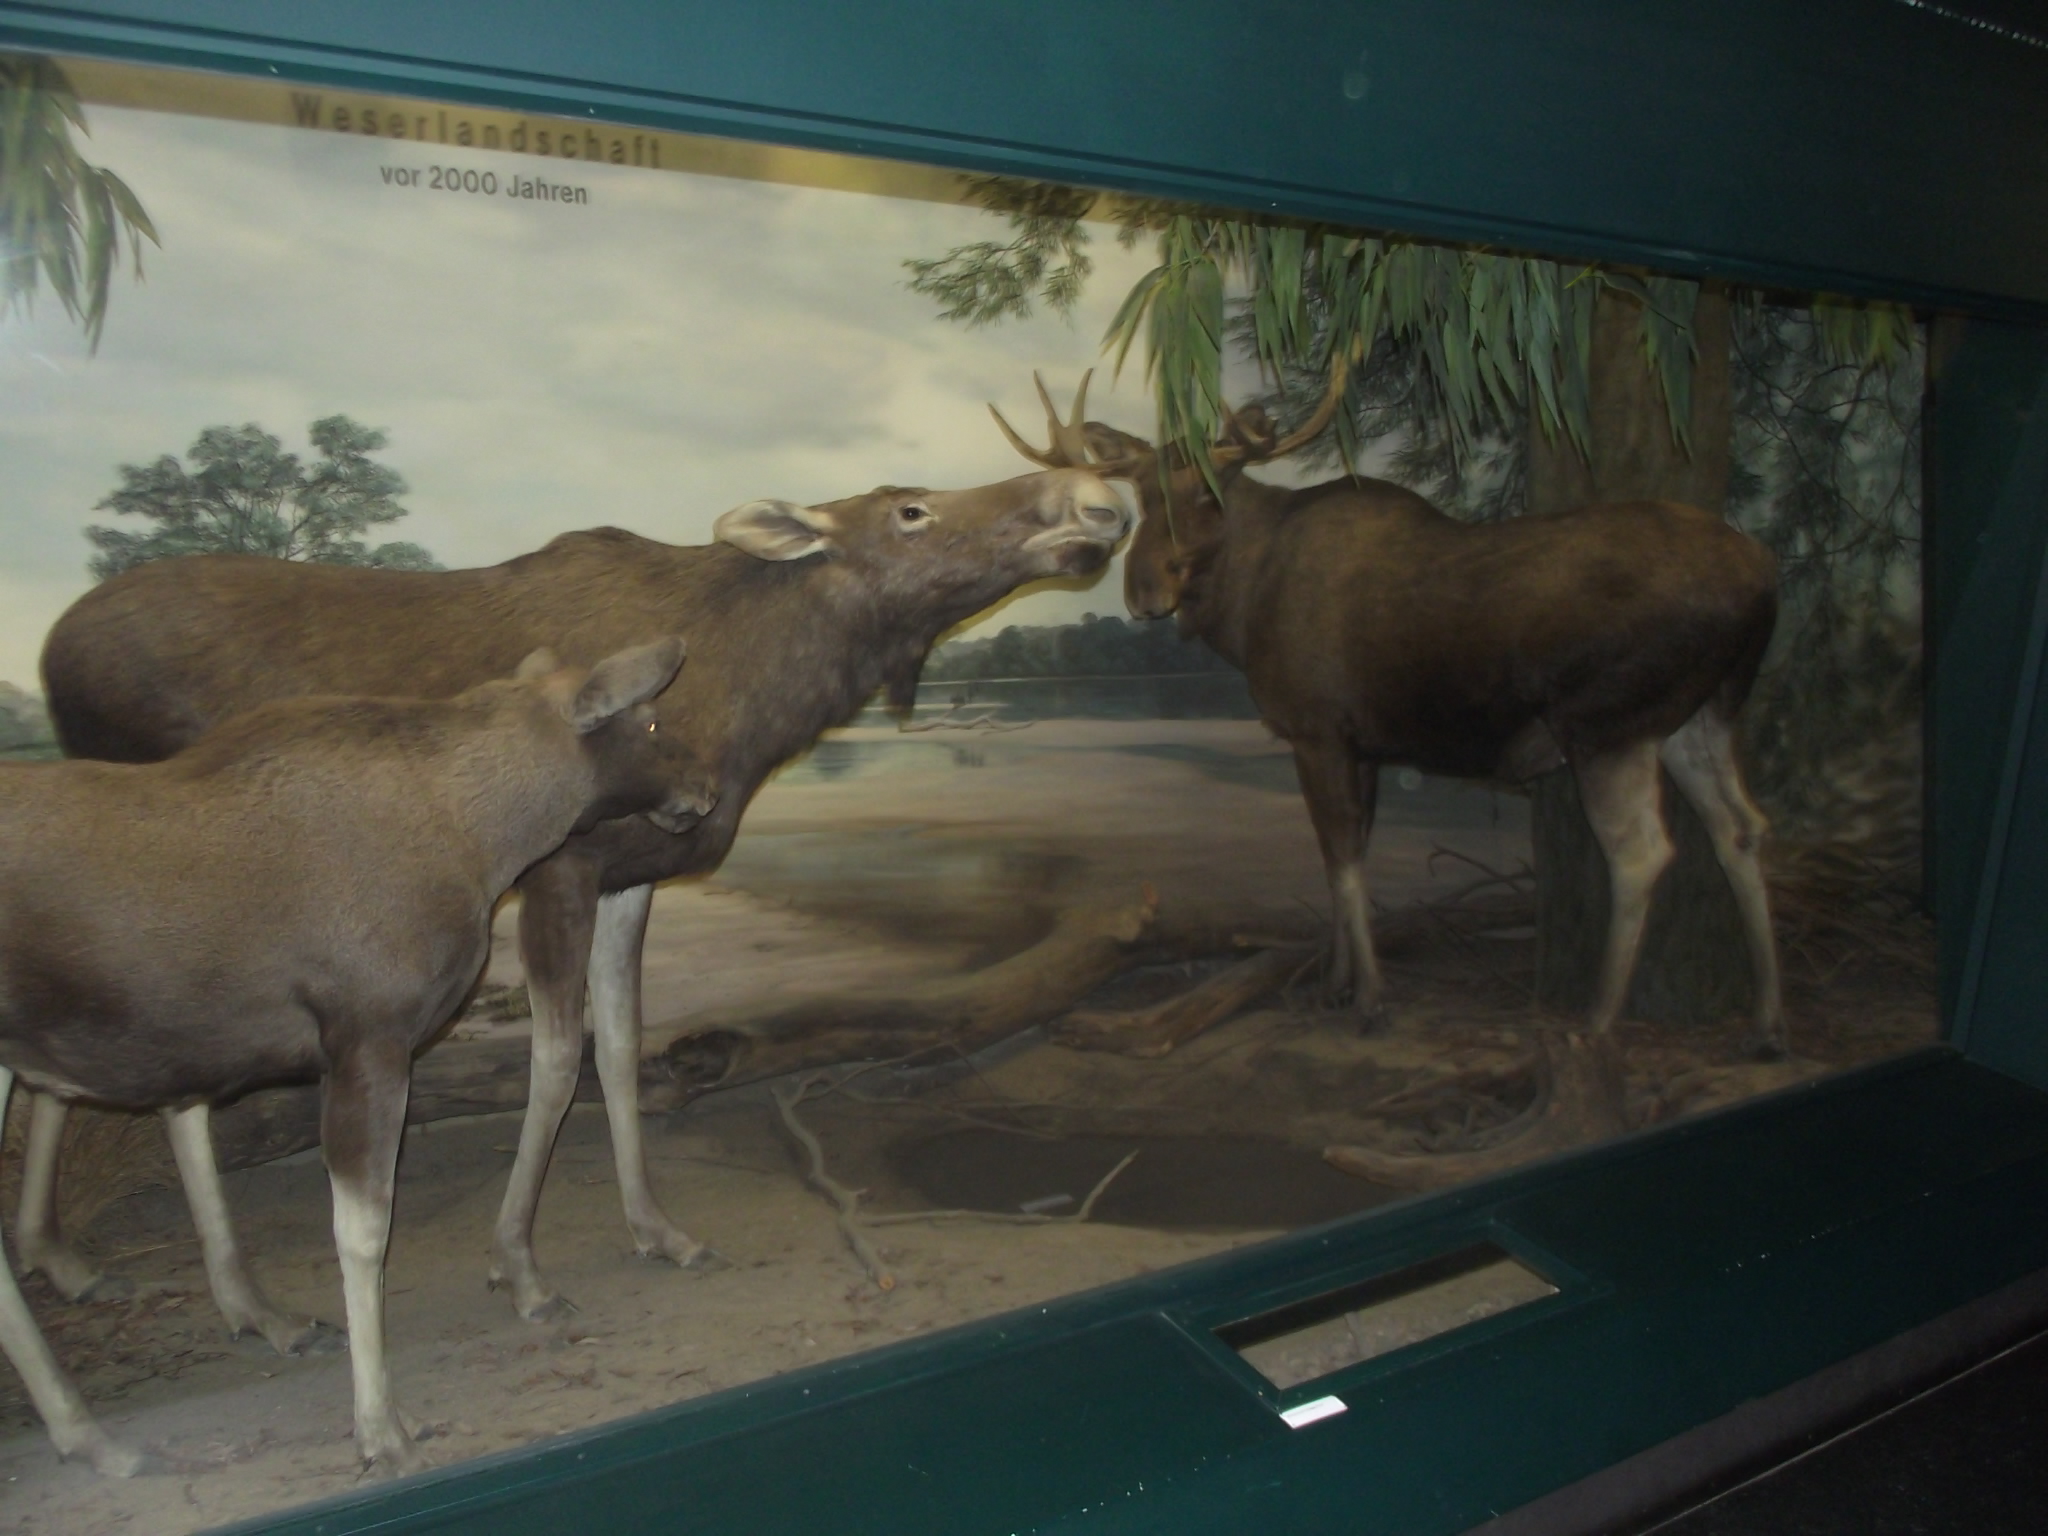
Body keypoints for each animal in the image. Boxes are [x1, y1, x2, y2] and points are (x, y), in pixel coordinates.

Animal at [0, 638, 708, 1482]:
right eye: (652, 719)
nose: (706, 789)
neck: (484, 839)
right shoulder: (369, 1038)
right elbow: (365, 1234)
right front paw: (381, 1426)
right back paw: (92, 1429)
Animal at [24, 468, 1130, 1343]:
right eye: (911, 507)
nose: (1097, 494)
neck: (754, 697)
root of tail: (47, 652)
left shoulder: (632, 872)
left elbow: (624, 1044)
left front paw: (658, 1227)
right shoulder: (559, 867)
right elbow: (555, 1063)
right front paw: (519, 1264)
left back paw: (66, 1259)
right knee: (169, 1088)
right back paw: (243, 1300)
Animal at [995, 376, 1794, 1056]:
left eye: (1208, 492)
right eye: (1139, 494)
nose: (1143, 590)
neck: (1244, 612)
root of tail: (1765, 577)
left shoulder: (1316, 729)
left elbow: (1343, 861)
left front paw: (1371, 1000)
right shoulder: (1365, 746)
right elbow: (1344, 856)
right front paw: (1335, 984)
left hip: (1607, 724)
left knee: (1642, 851)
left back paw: (1597, 1019)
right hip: (1700, 715)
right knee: (1743, 827)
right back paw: (1766, 1020)